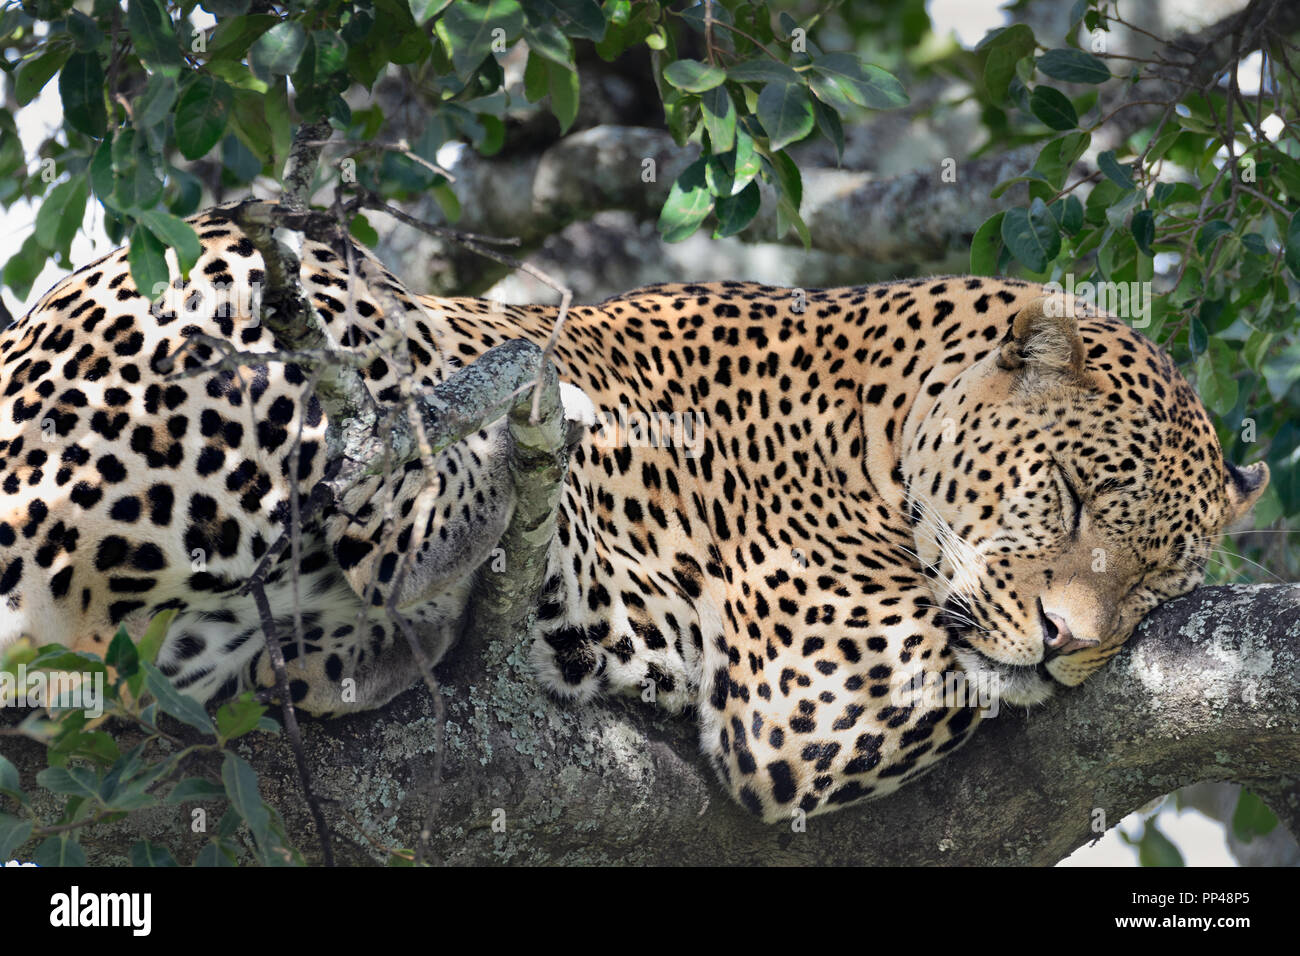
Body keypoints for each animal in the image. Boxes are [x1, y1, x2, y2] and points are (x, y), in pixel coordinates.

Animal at [0, 204, 1263, 822]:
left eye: (1156, 582)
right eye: (1072, 493)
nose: (1067, 644)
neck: (875, 415)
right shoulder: (817, 689)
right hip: (251, 273)